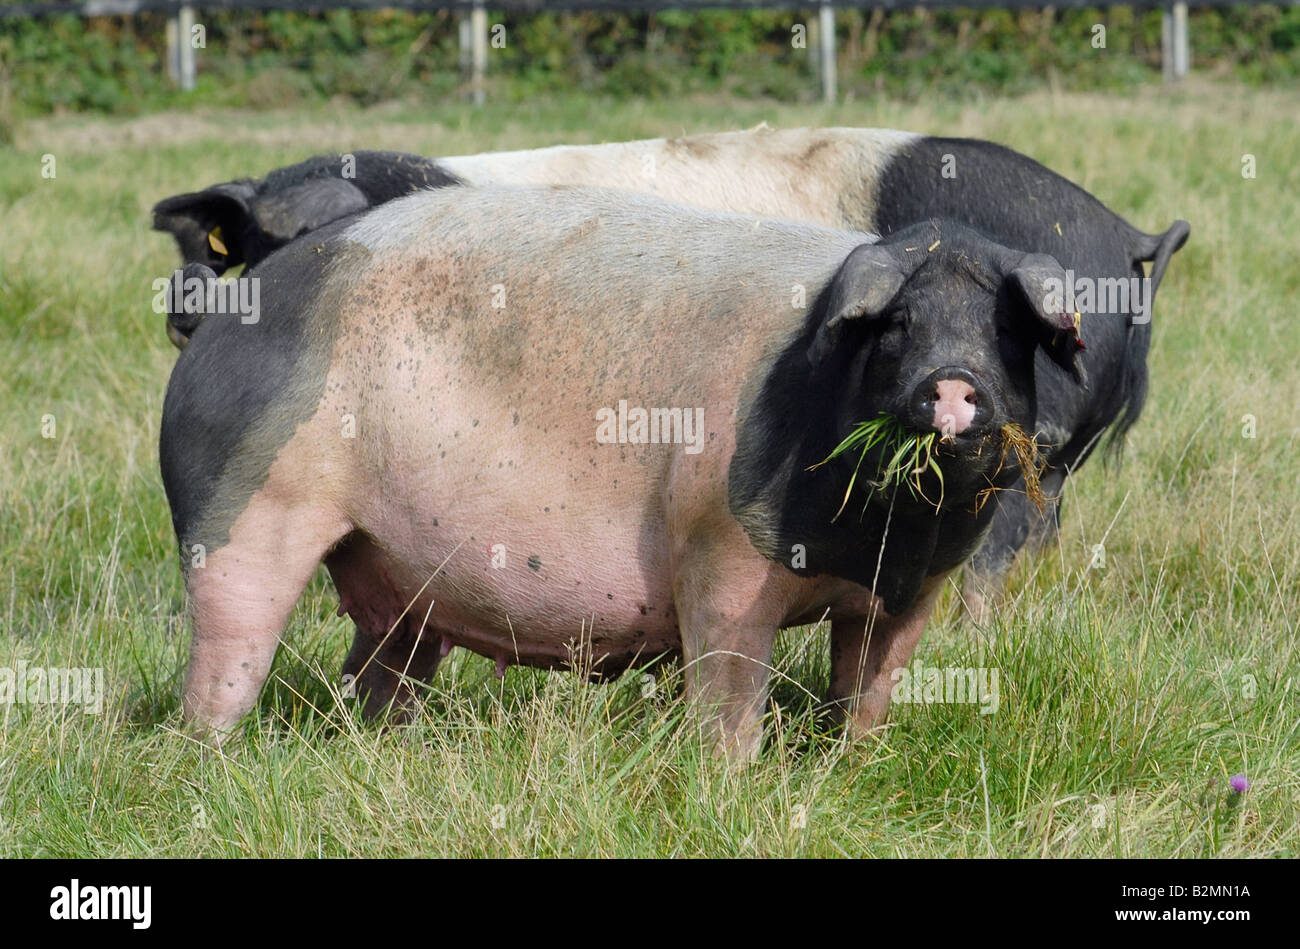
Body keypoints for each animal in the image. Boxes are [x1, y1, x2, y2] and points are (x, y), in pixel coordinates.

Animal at [152, 128, 1188, 616]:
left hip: (1025, 441)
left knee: (996, 555)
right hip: (1054, 463)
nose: (190, 313)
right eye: (250, 250)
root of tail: (1127, 238)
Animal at [160, 185, 1084, 758]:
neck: (878, 539)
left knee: (381, 666)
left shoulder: (913, 590)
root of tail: (225, 313)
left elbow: (867, 689)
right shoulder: (718, 552)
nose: (954, 381)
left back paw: (383, 746)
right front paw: (730, 781)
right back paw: (210, 757)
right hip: (242, 509)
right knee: (228, 650)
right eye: (898, 327)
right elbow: (729, 690)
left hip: (391, 564)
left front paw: (852, 762)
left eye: (1006, 332)